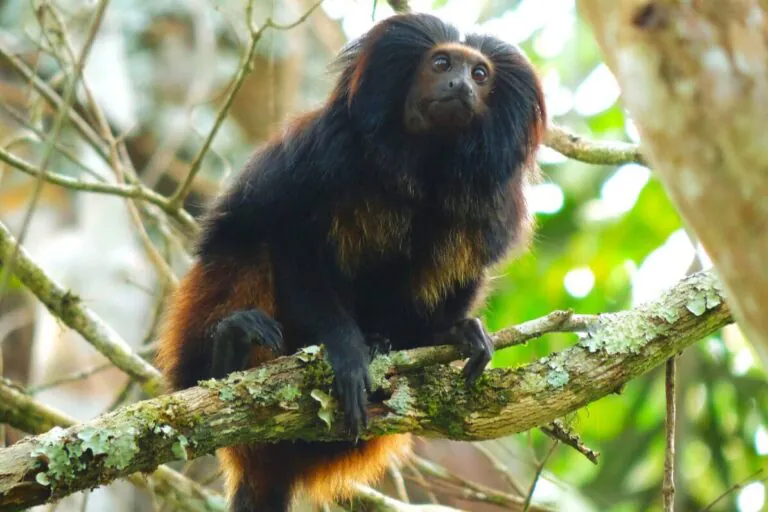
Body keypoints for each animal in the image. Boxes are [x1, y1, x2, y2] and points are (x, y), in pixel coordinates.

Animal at [155, 12, 546, 512]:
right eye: (441, 63)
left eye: (480, 74)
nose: (460, 84)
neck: (425, 164)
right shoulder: (326, 151)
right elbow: (290, 241)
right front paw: (347, 351)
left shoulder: (492, 204)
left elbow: (457, 279)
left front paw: (451, 333)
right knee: (247, 246)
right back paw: (228, 353)